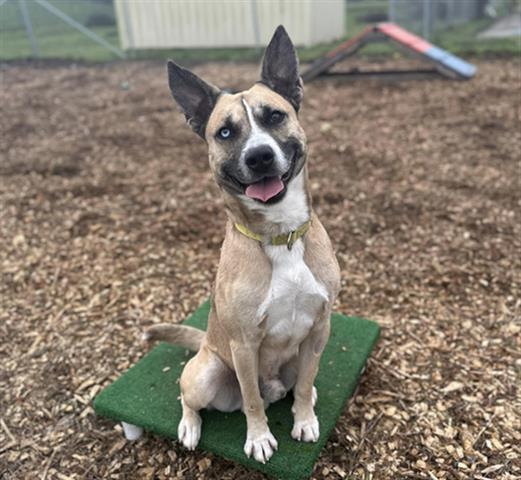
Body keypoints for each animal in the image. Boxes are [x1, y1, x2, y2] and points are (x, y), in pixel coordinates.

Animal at [145, 24, 342, 464]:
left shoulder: (318, 330)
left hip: (296, 357)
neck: (280, 237)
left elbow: (306, 383)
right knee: (189, 398)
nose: (260, 157)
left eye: (275, 116)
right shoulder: (244, 345)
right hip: (209, 370)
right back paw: (189, 426)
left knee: (298, 384)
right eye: (225, 132)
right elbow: (251, 401)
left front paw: (305, 420)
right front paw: (258, 438)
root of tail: (204, 342)